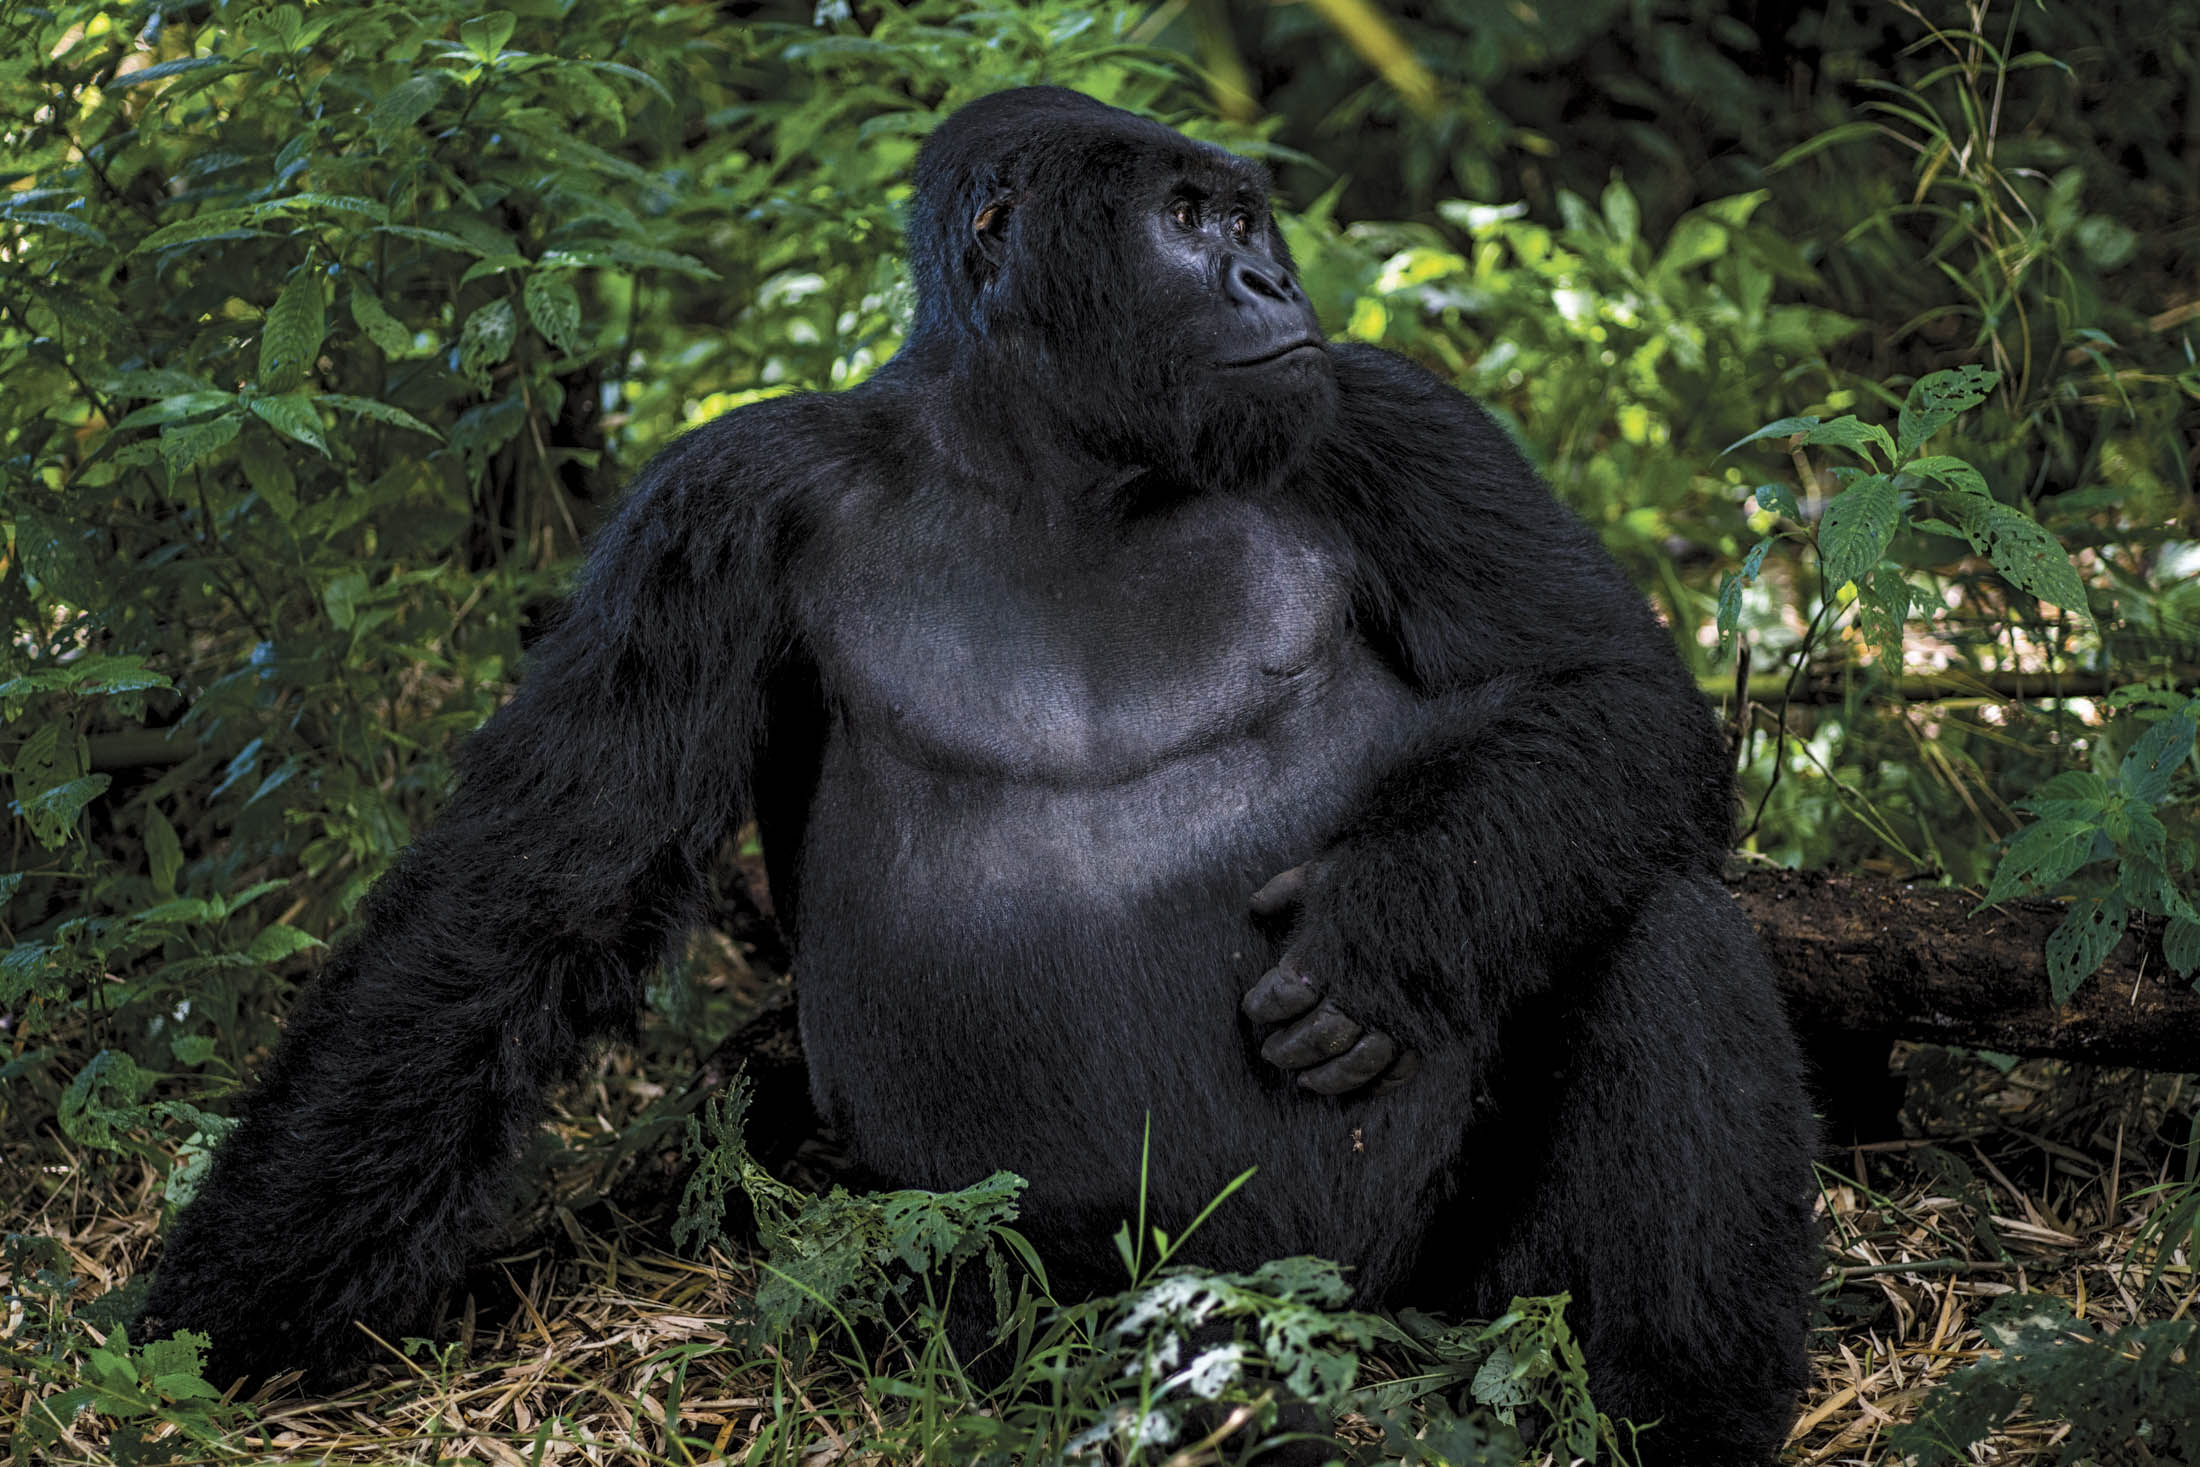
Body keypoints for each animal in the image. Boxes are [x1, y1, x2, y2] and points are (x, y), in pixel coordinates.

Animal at [141, 86, 1821, 1460]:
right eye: (1188, 219)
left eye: (1245, 219)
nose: (1273, 280)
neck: (1056, 455)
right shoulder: (720, 505)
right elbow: (543, 878)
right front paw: (230, 1304)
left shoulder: (1383, 415)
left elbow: (1609, 692)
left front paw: (1386, 922)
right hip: (1025, 1317)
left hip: (1436, 1314)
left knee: (1661, 930)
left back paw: (1677, 1405)